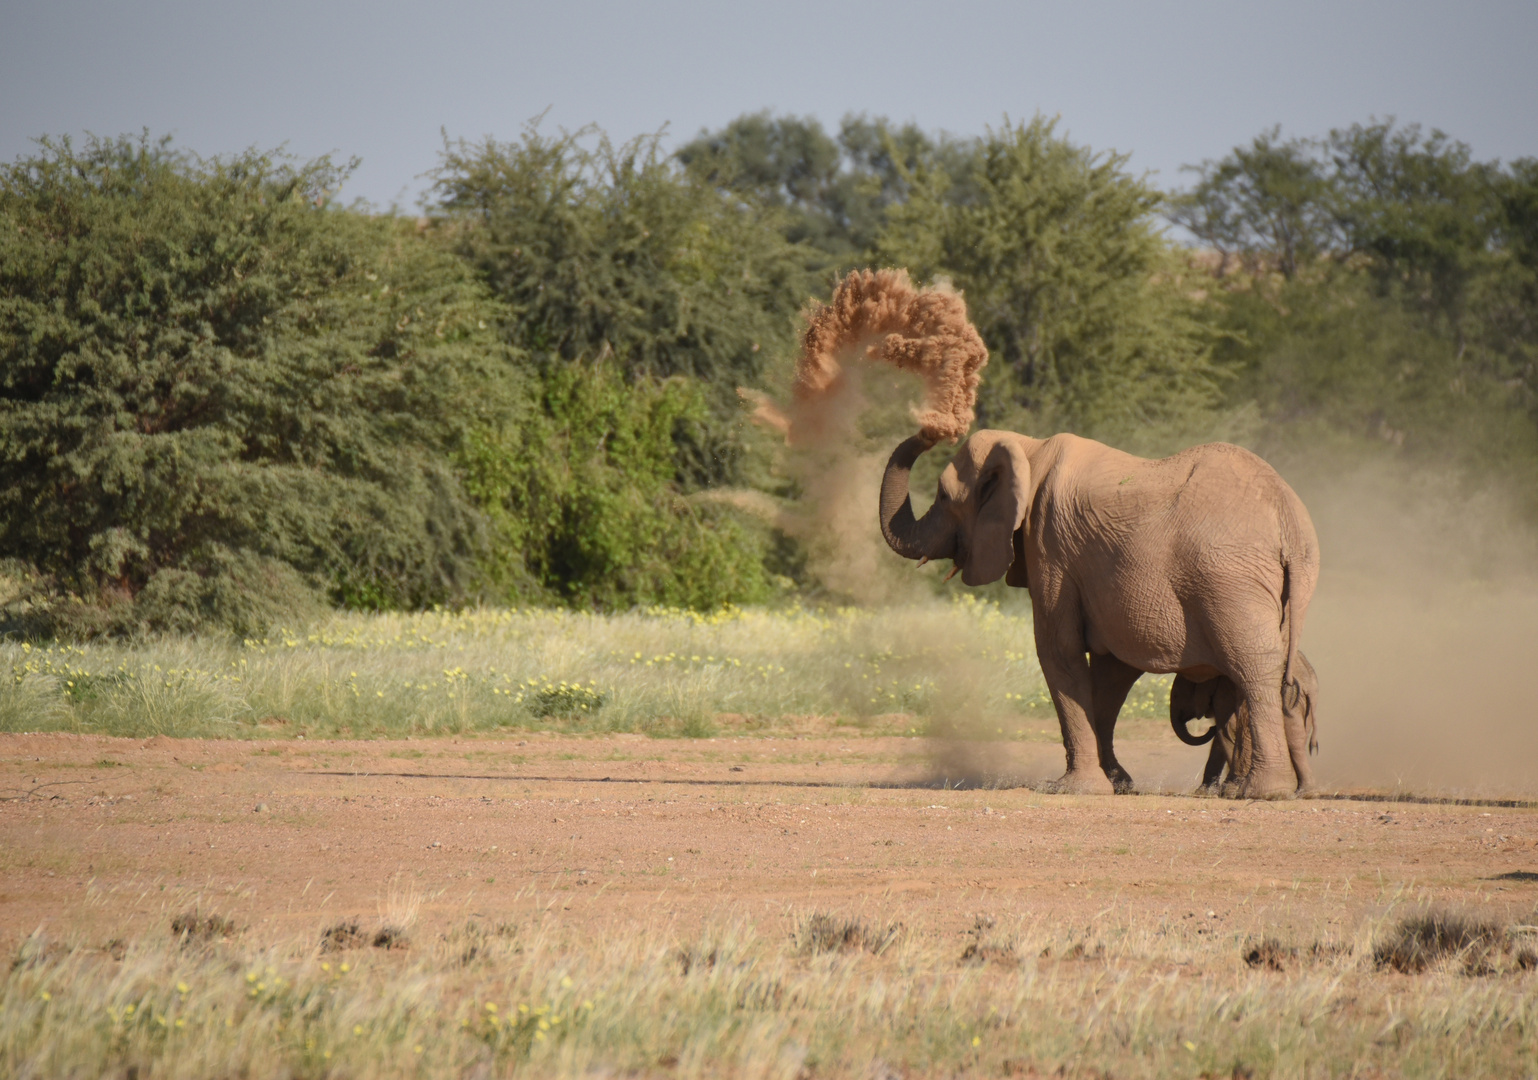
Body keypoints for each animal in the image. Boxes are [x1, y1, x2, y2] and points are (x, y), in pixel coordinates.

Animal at [1168, 652, 1316, 793]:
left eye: (1175, 696)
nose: (1210, 726)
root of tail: (1309, 688)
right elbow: (1220, 738)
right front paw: (1207, 791)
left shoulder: (1222, 694)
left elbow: (1226, 730)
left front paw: (1230, 787)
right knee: (1295, 741)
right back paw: (1305, 792)